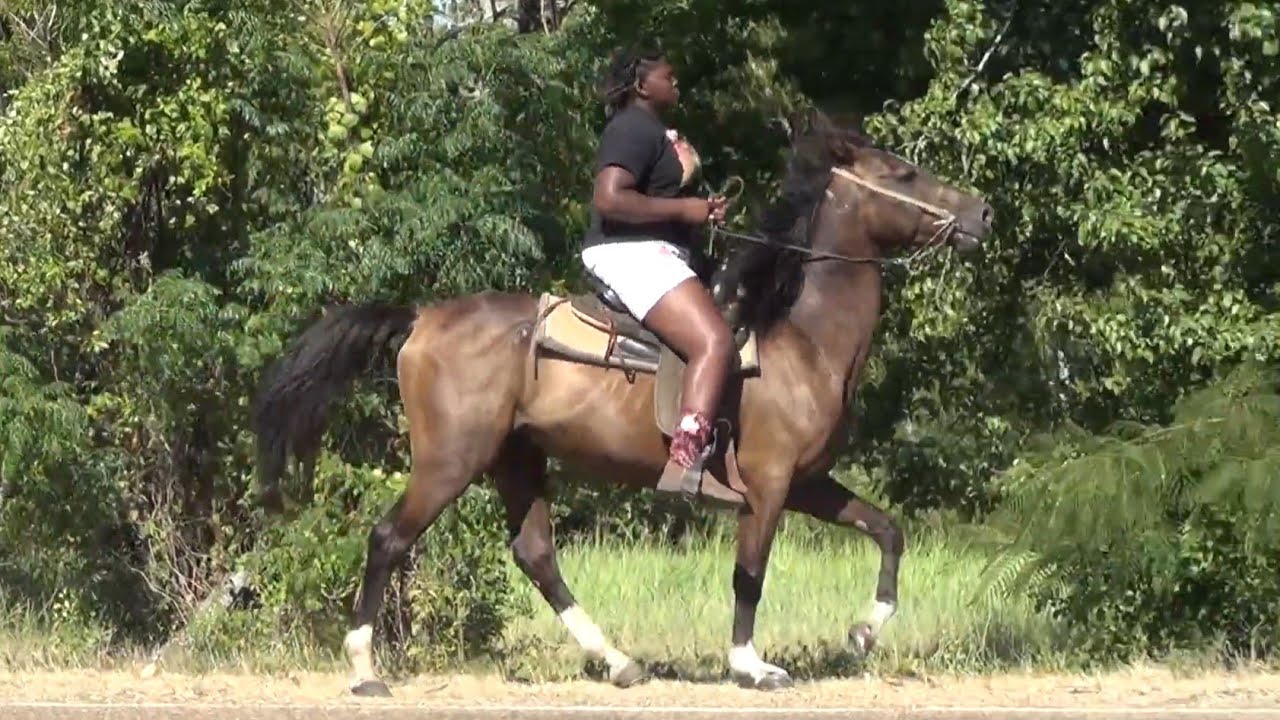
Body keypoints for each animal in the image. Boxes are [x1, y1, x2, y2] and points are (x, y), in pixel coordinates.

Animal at [251, 110, 994, 695]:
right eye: (902, 174)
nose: (982, 212)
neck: (804, 339)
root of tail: (422, 318)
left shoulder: (809, 481)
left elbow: (887, 530)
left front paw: (864, 632)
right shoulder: (770, 484)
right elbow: (750, 573)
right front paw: (751, 666)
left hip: (516, 459)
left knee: (536, 555)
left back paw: (617, 661)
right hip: (450, 461)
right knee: (389, 538)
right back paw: (363, 669)